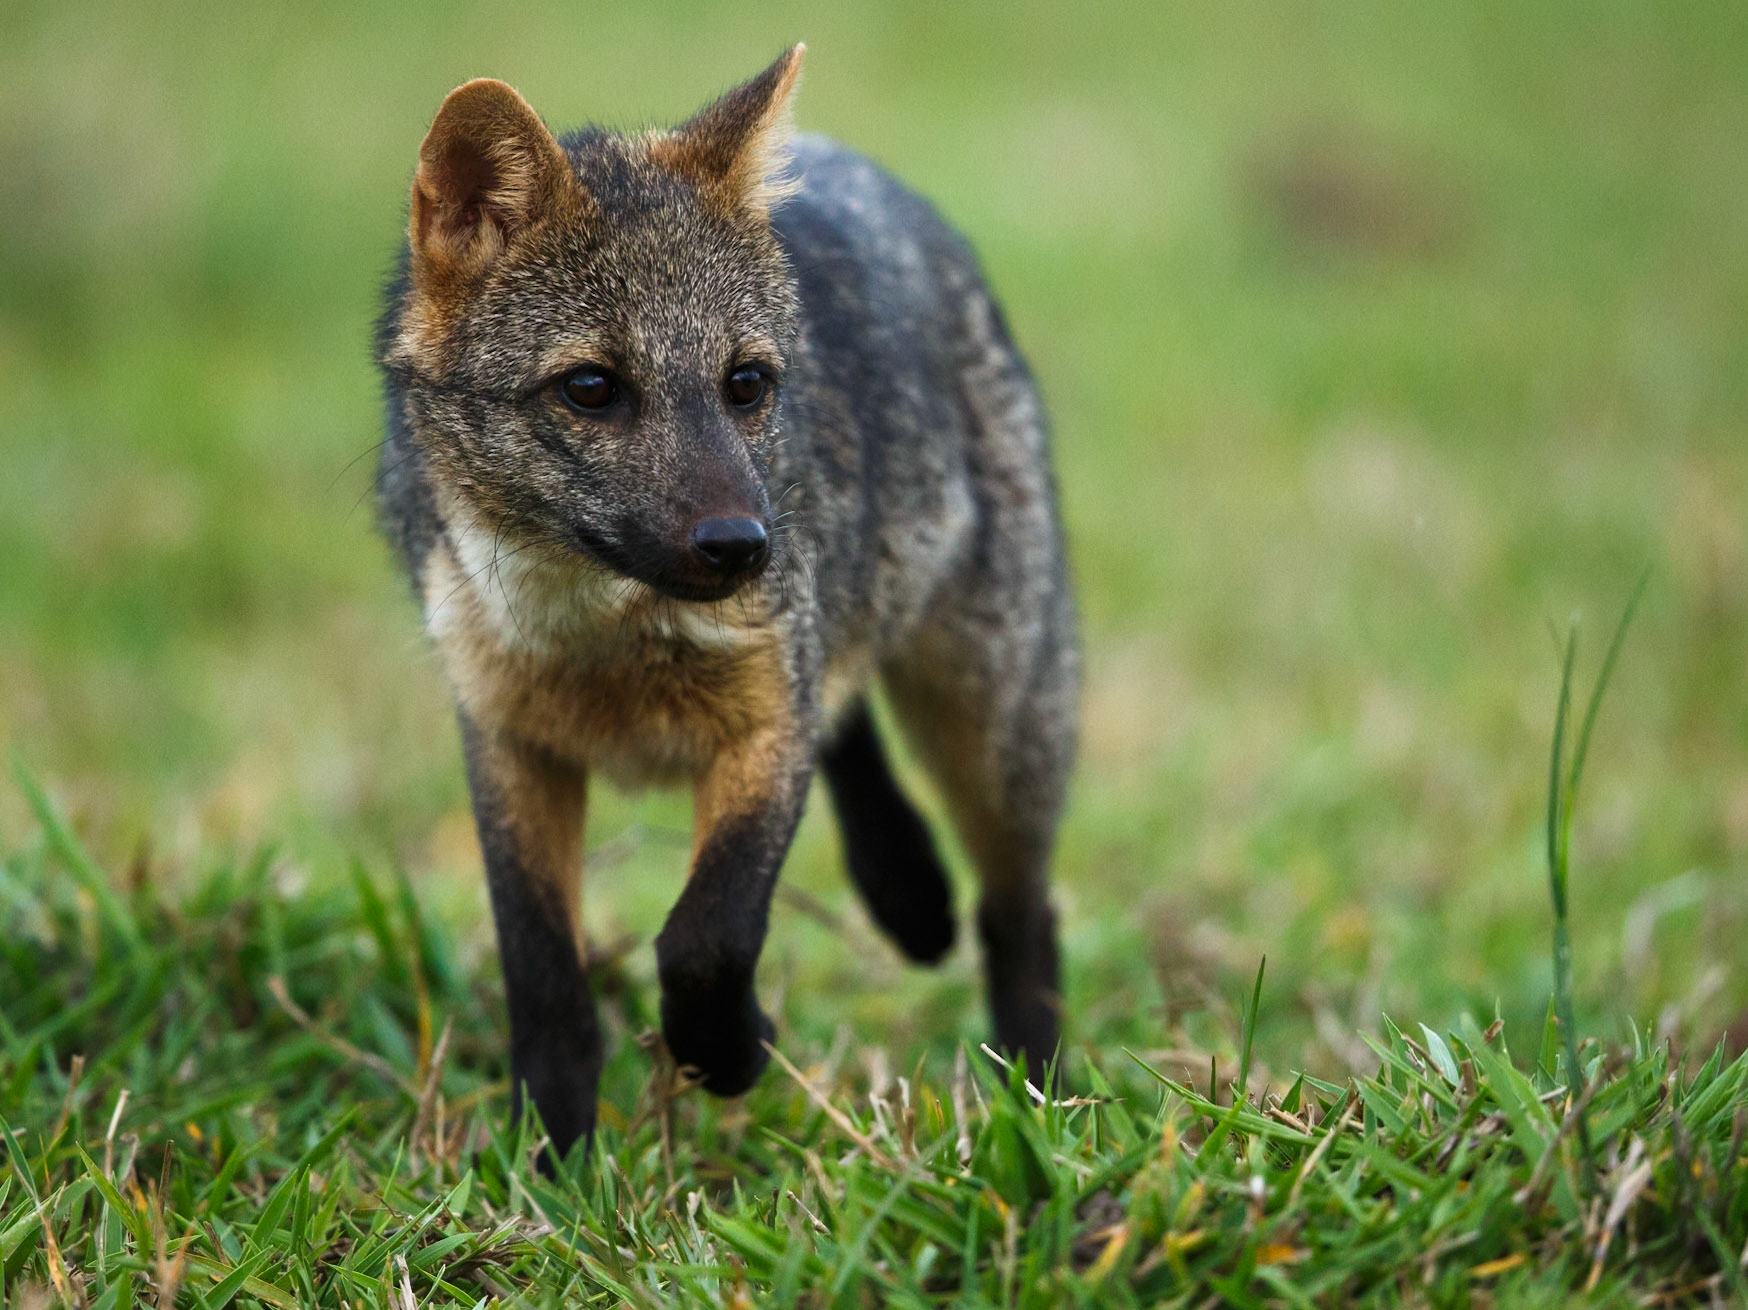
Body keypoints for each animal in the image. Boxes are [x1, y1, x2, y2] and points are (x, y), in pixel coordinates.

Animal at [375, 45, 1078, 1162]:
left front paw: (732, 1052)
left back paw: (1032, 1096)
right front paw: (550, 1162)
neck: (604, 641)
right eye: (590, 387)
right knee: (856, 729)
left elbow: (706, 936)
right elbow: (544, 978)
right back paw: (908, 889)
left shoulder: (763, 721)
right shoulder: (508, 740)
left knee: (1022, 911)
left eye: (744, 384)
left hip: (994, 724)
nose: (742, 547)